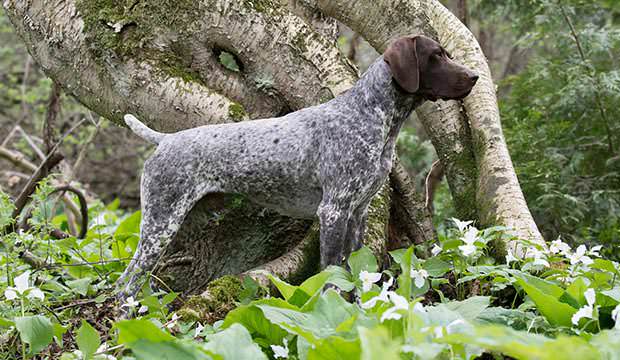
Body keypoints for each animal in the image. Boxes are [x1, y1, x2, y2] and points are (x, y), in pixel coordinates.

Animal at [120, 35, 480, 300]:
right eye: (436, 56)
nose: (475, 76)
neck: (372, 115)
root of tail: (166, 139)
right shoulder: (333, 211)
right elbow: (332, 273)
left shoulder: (358, 213)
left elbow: (356, 270)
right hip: (160, 224)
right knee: (126, 282)